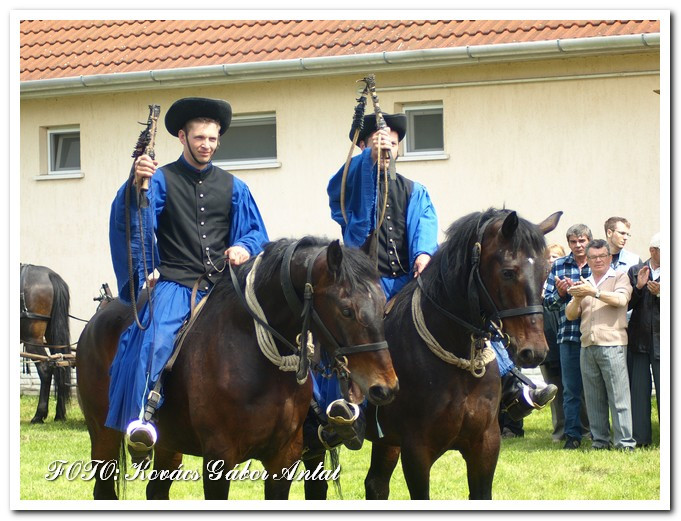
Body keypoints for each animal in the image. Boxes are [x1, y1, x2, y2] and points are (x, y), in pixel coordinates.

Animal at [19, 264, 72, 422]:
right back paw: (59, 414)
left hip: (32, 339)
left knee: (45, 369)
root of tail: (49, 274)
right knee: (60, 365)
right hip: (52, 336)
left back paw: (39, 415)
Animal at [77, 237, 398, 500]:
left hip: (169, 442)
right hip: (104, 437)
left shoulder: (284, 457)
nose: (386, 387)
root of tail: (97, 319)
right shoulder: (218, 459)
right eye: (346, 310)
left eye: (383, 304)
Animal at [302, 207, 556, 500]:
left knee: (376, 484)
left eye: (546, 271)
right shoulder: (417, 452)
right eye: (508, 272)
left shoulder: (485, 446)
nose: (534, 351)